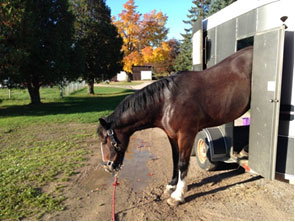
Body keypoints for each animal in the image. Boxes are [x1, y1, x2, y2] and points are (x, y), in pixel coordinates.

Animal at [97, 46, 254, 206]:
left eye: (106, 140)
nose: (107, 166)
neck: (167, 101)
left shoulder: (185, 135)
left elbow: (182, 163)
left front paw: (178, 195)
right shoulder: (172, 136)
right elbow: (174, 159)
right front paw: (172, 185)